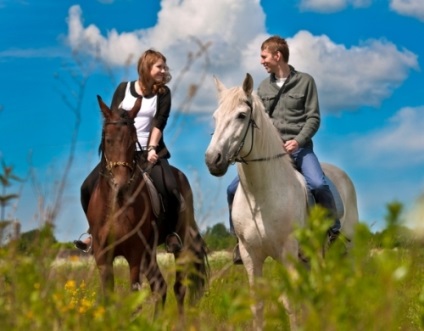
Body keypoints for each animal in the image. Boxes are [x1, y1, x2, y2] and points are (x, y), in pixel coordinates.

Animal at [86, 96, 210, 316]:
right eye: (108, 140)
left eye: (131, 141)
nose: (120, 185)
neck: (116, 206)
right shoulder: (103, 256)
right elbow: (108, 296)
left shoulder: (135, 254)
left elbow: (135, 299)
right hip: (149, 254)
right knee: (160, 286)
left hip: (179, 245)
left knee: (179, 287)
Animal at [205, 74, 358, 330]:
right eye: (215, 117)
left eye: (241, 115)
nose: (212, 159)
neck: (261, 197)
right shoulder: (250, 256)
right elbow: (257, 304)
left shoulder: (287, 253)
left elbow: (290, 303)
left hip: (344, 249)